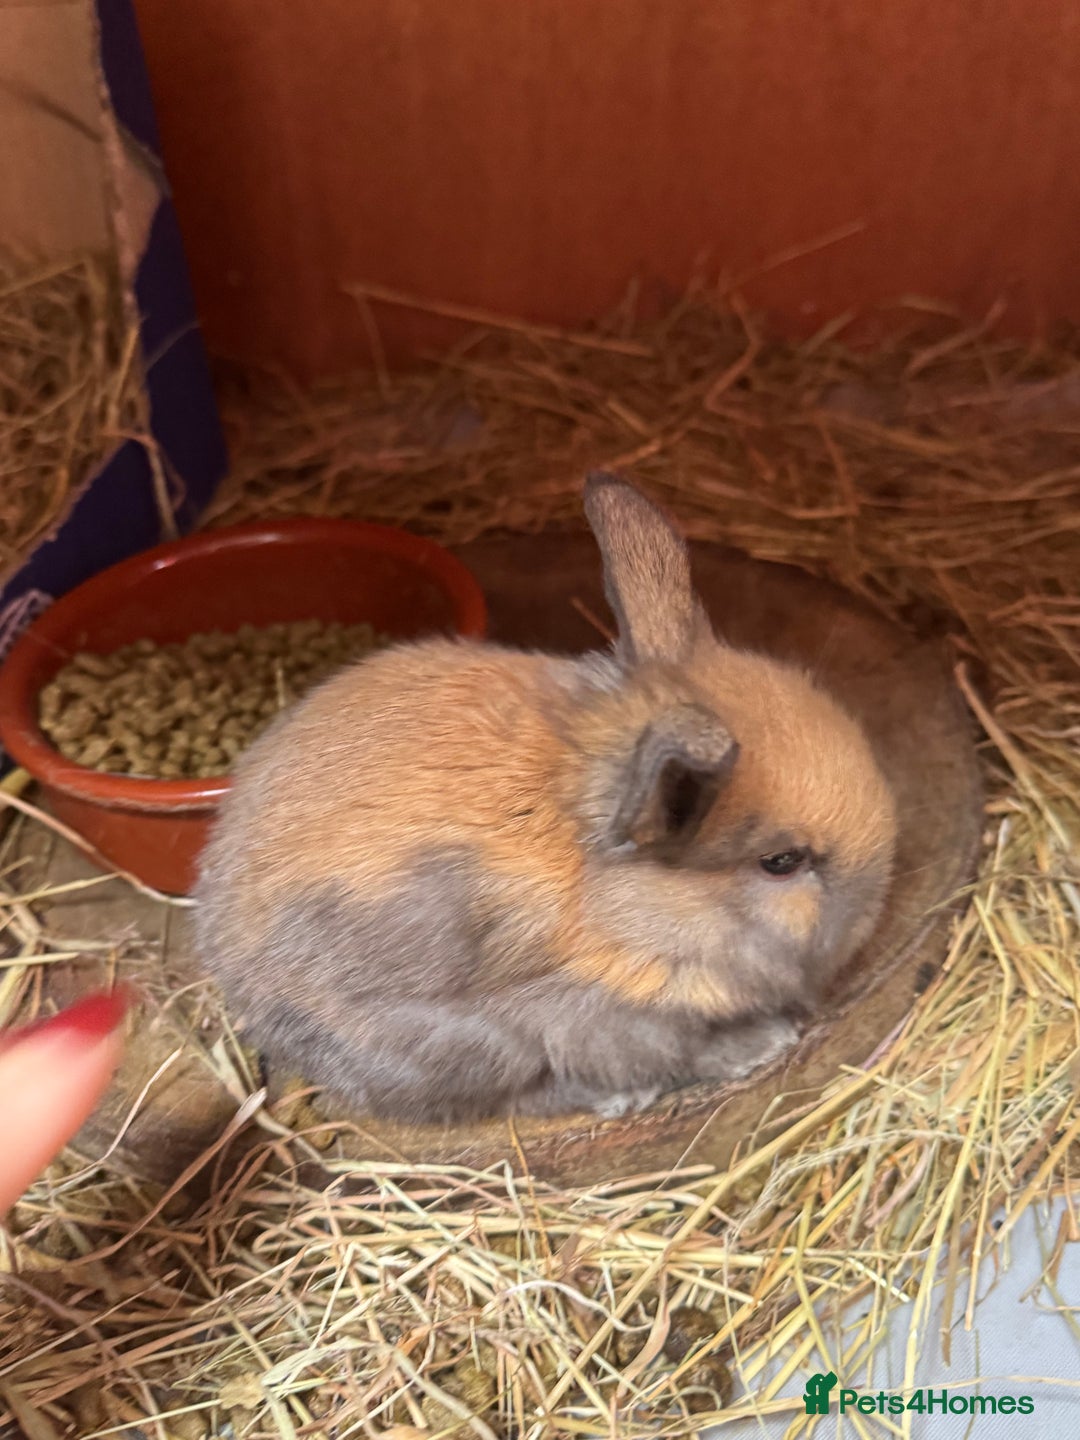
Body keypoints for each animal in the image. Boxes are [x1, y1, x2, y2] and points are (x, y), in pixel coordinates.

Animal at [194, 474, 898, 1125]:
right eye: (782, 862)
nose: (871, 913)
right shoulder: (597, 1016)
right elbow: (675, 1050)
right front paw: (761, 1044)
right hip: (463, 1048)